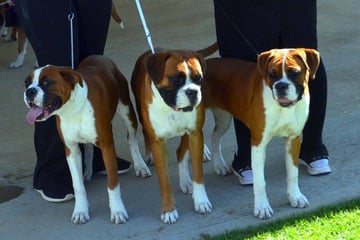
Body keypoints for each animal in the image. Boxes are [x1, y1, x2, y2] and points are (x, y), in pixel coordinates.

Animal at [23, 55, 150, 224]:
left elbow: (112, 184)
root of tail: (100, 56)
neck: (72, 109)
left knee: (132, 141)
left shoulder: (107, 146)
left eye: (47, 82)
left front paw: (117, 210)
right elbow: (78, 187)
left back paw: (140, 166)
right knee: (89, 148)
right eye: (27, 83)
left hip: (127, 113)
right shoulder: (71, 150)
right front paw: (80, 211)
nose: (29, 91)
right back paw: (88, 171)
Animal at [131, 43, 218, 225]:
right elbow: (164, 181)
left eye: (199, 79)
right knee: (145, 133)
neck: (171, 109)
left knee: (180, 152)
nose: (192, 91)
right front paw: (168, 210)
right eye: (177, 79)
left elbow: (197, 173)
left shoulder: (194, 133)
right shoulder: (158, 143)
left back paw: (186, 179)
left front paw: (201, 201)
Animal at [181, 47, 320, 219]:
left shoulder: (293, 139)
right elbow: (260, 181)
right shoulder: (258, 143)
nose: (281, 86)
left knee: (214, 137)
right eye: (271, 74)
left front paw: (295, 197)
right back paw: (185, 183)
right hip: (190, 128)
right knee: (180, 153)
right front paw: (262, 207)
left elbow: (293, 173)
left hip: (224, 118)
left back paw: (219, 165)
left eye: (294, 73)